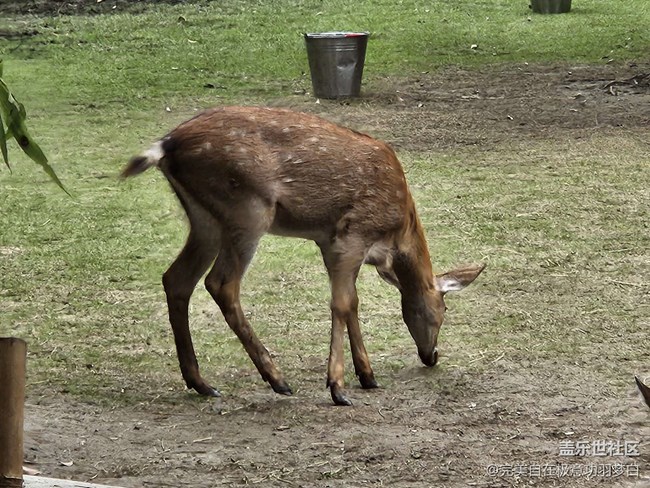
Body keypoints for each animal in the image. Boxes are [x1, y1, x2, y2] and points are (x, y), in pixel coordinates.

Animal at [122, 106, 485, 406]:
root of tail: (165, 145)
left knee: (177, 278)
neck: (396, 235)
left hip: (204, 219)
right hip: (248, 209)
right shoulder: (354, 233)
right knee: (220, 283)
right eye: (443, 309)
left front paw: (366, 375)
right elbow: (342, 303)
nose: (432, 355)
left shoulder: (329, 243)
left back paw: (201, 383)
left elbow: (352, 302)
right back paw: (277, 379)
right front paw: (337, 386)